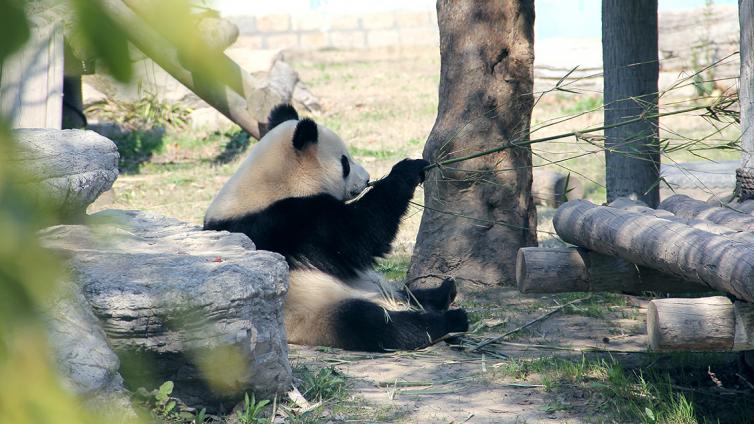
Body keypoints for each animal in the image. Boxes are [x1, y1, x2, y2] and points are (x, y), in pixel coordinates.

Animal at [203, 102, 468, 352]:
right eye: (345, 163)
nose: (367, 177)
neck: (269, 183)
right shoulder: (292, 221)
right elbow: (360, 235)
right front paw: (409, 169)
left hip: (373, 286)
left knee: (405, 293)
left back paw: (443, 292)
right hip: (316, 310)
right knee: (374, 324)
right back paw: (450, 320)